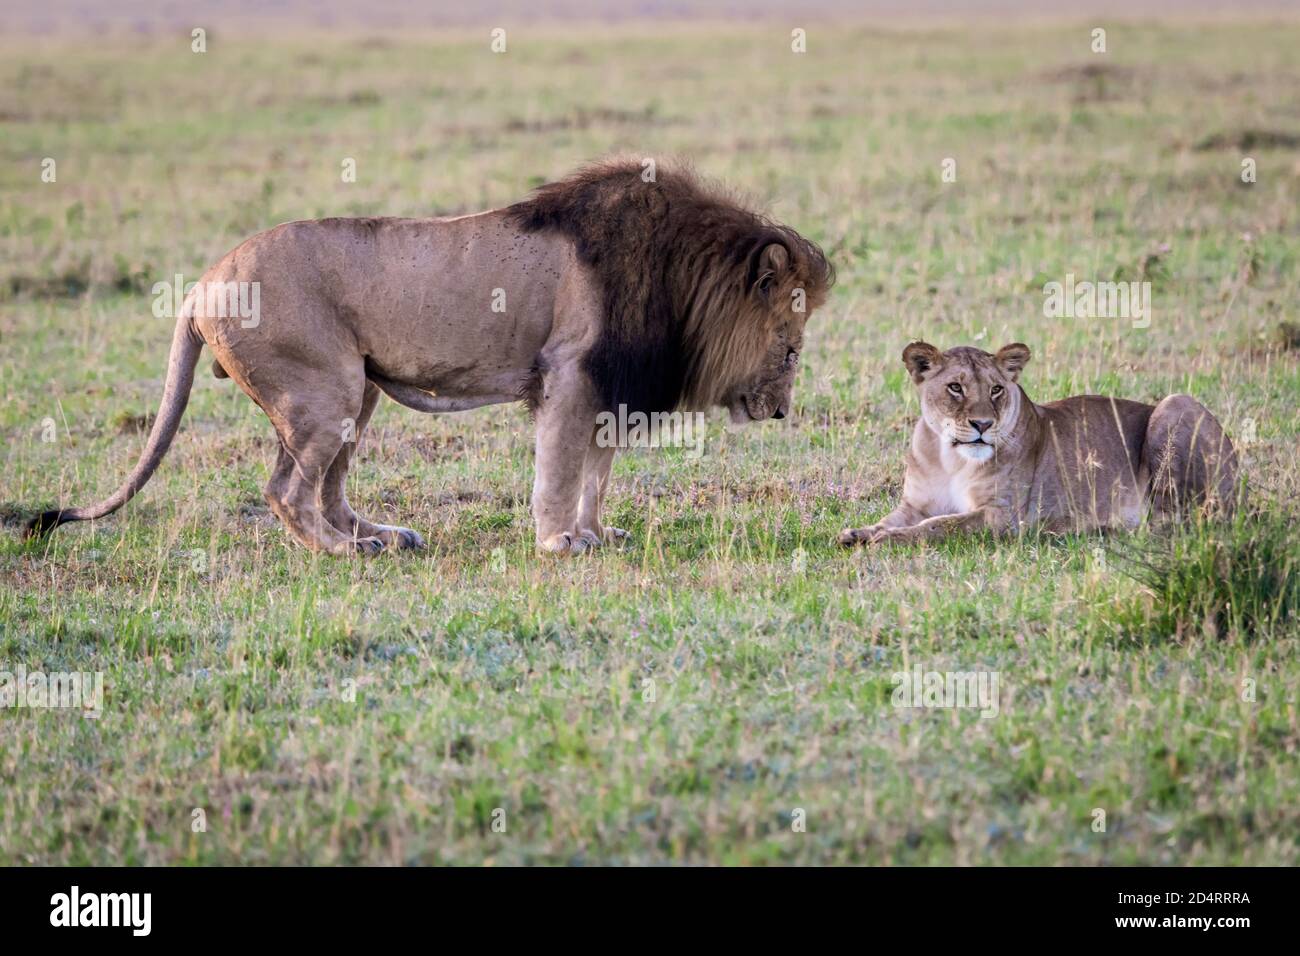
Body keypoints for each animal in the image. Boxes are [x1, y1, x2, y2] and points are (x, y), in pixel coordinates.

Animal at [27, 159, 834, 555]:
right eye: (792, 348)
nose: (782, 412)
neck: (683, 276)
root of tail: (199, 286)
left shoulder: (613, 386)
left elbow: (597, 478)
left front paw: (598, 532)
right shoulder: (573, 374)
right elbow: (559, 473)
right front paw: (559, 542)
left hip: (358, 394)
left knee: (326, 488)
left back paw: (385, 536)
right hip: (324, 389)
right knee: (286, 491)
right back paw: (343, 552)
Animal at [838, 341, 1239, 546]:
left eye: (996, 389)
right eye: (955, 388)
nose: (982, 424)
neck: (951, 459)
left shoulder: (1003, 516)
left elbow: (940, 525)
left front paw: (887, 539)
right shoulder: (915, 504)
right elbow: (892, 519)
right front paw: (857, 533)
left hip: (1174, 405)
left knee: (1175, 520)